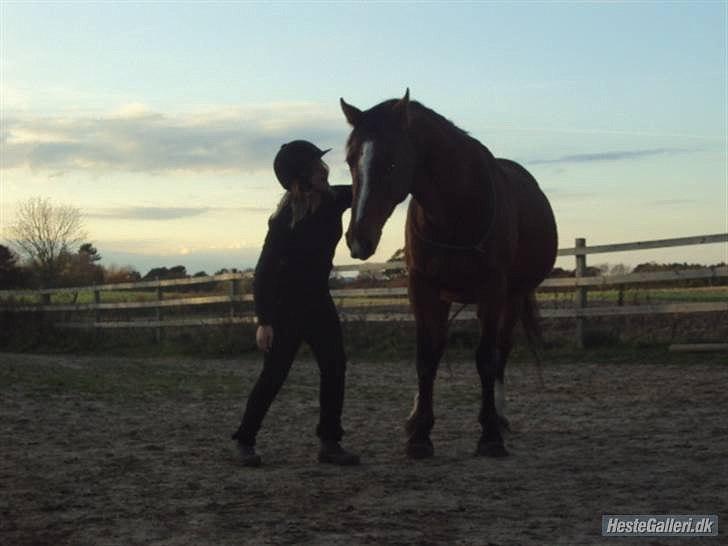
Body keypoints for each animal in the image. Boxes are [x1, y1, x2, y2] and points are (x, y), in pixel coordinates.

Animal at [340, 91, 556, 456]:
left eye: (392, 161)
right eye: (350, 160)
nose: (358, 238)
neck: (456, 210)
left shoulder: (493, 291)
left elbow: (486, 359)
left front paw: (490, 435)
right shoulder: (422, 288)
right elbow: (426, 358)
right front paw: (420, 434)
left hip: (511, 298)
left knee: (501, 350)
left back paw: (500, 417)